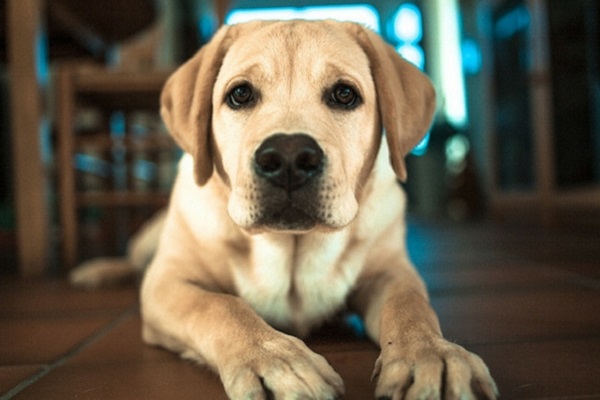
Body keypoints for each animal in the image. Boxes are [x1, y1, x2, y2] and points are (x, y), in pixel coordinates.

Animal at [71, 20, 496, 400]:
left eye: (345, 94)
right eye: (240, 94)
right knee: (134, 261)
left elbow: (412, 310)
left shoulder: (392, 273)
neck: (291, 245)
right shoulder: (167, 283)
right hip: (149, 240)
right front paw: (274, 359)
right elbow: (222, 307)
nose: (290, 158)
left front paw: (432, 355)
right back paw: (97, 271)